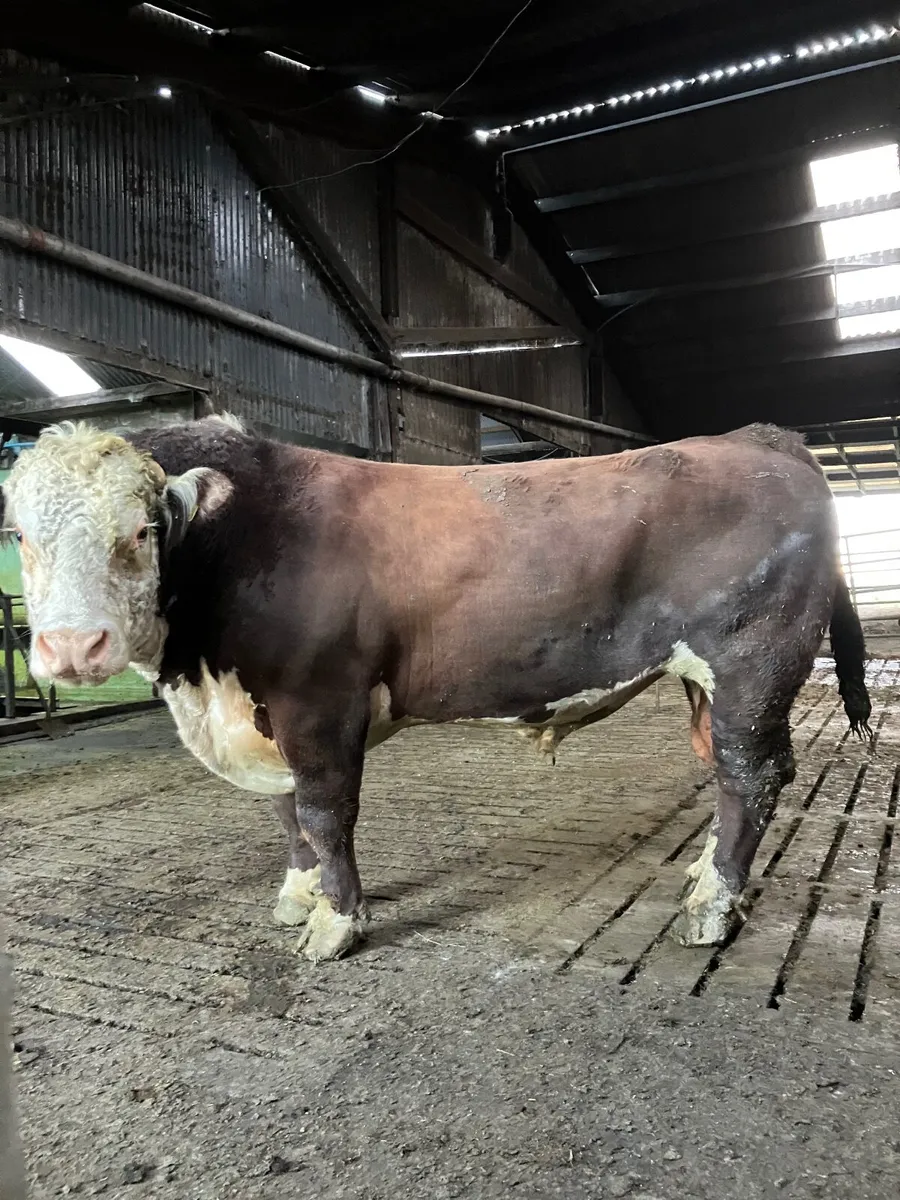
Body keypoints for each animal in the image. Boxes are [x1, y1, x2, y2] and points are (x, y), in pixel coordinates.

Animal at [0, 416, 871, 962]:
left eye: (141, 530)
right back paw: (700, 878)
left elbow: (323, 814)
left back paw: (711, 908)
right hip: (708, 683)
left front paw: (337, 925)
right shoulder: (262, 715)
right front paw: (299, 894)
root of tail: (757, 439)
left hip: (753, 667)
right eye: (21, 535)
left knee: (751, 776)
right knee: (726, 773)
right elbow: (286, 815)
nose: (72, 647)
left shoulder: (319, 701)